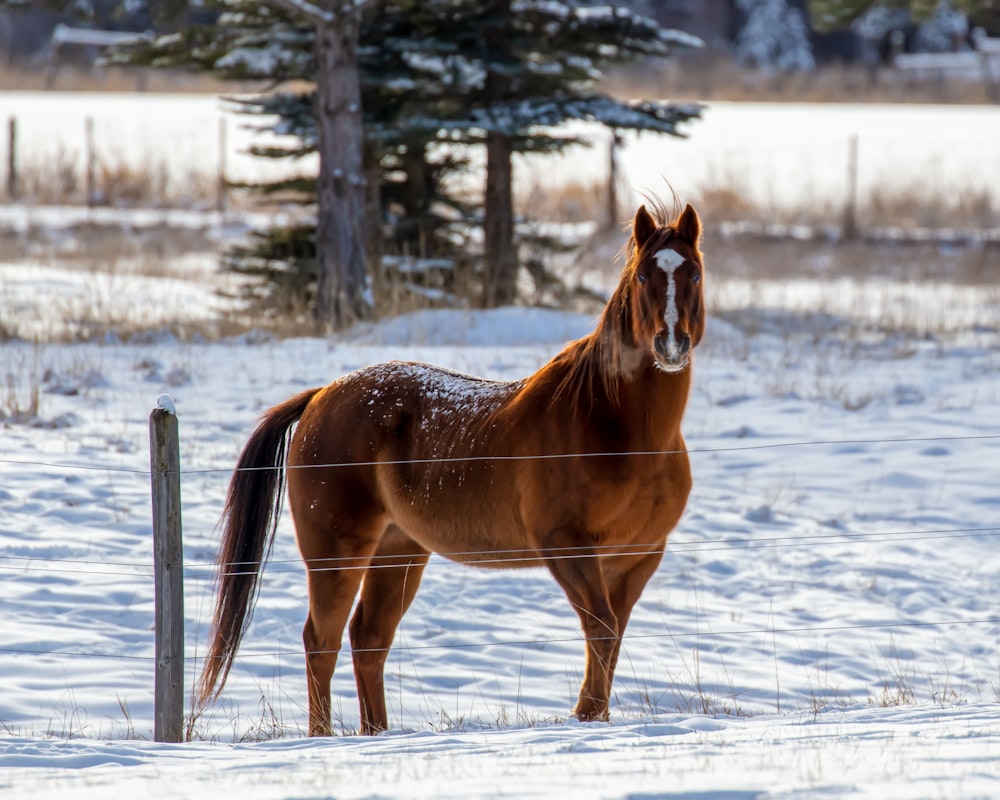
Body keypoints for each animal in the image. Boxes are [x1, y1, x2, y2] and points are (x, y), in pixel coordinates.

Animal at [199, 202, 708, 736]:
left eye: (693, 272)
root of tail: (320, 397)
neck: (612, 425)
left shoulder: (637, 556)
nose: (671, 345)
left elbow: (610, 636)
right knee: (322, 639)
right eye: (644, 276)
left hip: (398, 552)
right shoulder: (567, 546)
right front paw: (586, 717)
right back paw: (324, 739)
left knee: (368, 638)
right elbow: (602, 631)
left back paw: (376, 733)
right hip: (337, 551)